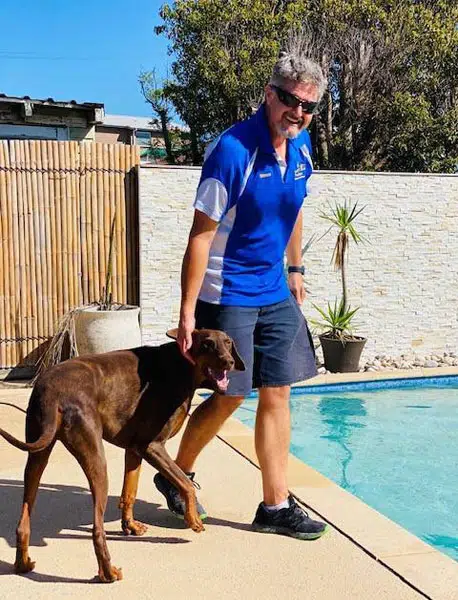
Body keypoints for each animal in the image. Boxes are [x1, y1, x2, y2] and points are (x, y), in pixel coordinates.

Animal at [0, 328, 245, 583]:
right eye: (207, 344)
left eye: (228, 343)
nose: (229, 361)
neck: (181, 366)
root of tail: (53, 392)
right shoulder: (152, 446)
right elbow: (185, 483)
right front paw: (193, 519)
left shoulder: (134, 448)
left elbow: (130, 491)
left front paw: (130, 526)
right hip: (96, 459)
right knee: (97, 529)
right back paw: (108, 573)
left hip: (37, 455)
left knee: (23, 522)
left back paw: (23, 564)